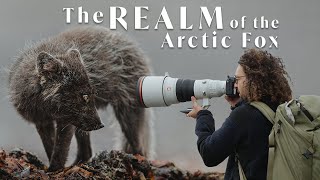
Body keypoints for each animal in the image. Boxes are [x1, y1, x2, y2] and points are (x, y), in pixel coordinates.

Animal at [7, 25, 152, 172]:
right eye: (84, 96)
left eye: (92, 94)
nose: (101, 125)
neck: (44, 107)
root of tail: (132, 45)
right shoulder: (42, 122)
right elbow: (50, 147)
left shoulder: (66, 122)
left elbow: (59, 150)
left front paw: (54, 170)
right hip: (84, 124)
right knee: (86, 153)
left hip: (126, 115)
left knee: (139, 149)